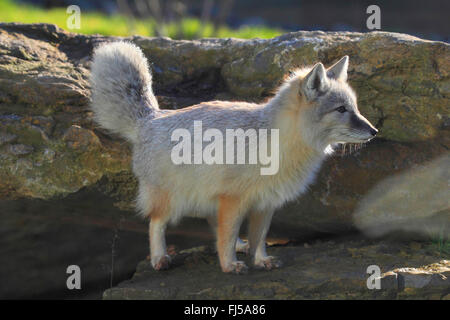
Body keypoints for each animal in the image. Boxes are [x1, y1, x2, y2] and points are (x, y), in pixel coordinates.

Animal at [89, 41, 378, 274]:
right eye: (341, 110)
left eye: (355, 108)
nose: (374, 131)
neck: (278, 141)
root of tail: (151, 117)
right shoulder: (233, 199)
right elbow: (226, 236)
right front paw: (229, 266)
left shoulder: (265, 202)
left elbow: (258, 237)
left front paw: (259, 260)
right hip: (173, 199)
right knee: (156, 223)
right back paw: (159, 258)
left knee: (215, 226)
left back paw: (241, 245)